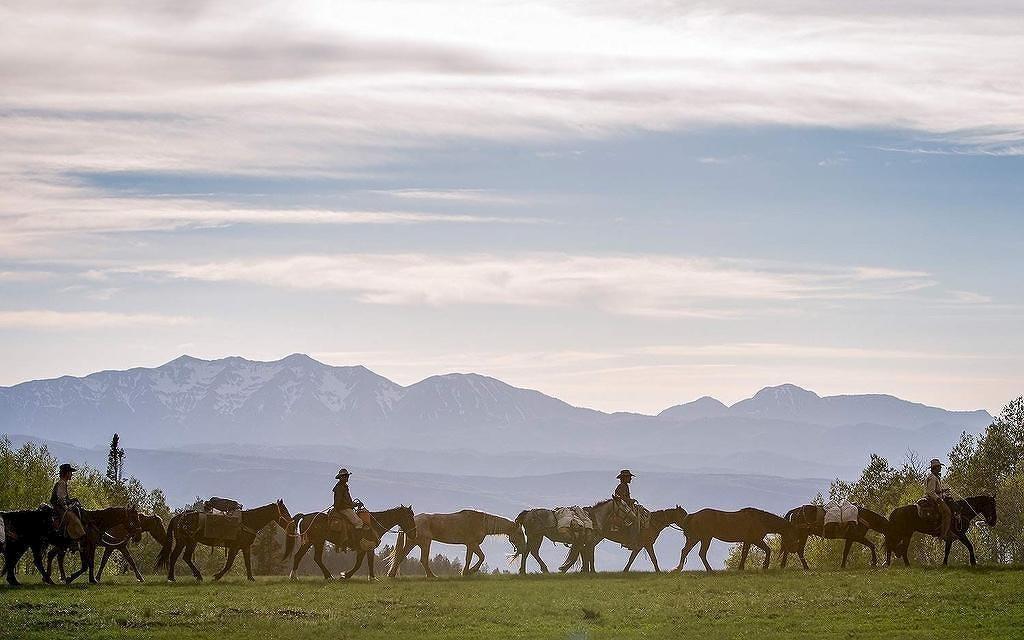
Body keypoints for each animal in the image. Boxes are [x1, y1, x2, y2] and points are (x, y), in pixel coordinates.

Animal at [155, 497, 292, 581]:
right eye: (284, 511)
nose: (291, 523)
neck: (248, 521)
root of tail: (178, 517)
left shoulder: (245, 547)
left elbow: (247, 563)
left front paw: (250, 578)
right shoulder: (234, 547)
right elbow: (229, 563)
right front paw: (217, 576)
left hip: (187, 542)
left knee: (180, 557)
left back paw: (180, 576)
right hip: (186, 541)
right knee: (179, 557)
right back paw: (184, 576)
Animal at [280, 505, 415, 581]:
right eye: (409, 517)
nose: (414, 533)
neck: (374, 523)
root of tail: (305, 516)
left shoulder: (367, 548)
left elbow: (367, 562)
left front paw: (372, 577)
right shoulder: (365, 547)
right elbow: (359, 564)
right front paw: (345, 575)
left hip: (313, 542)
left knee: (308, 557)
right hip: (315, 541)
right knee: (307, 557)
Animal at [387, 509, 524, 577]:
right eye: (519, 533)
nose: (522, 548)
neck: (481, 522)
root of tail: (412, 521)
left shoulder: (470, 545)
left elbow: (469, 559)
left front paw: (465, 572)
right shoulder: (473, 543)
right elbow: (481, 557)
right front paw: (470, 571)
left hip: (413, 543)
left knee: (400, 556)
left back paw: (391, 574)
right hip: (425, 543)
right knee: (423, 560)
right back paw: (432, 576)